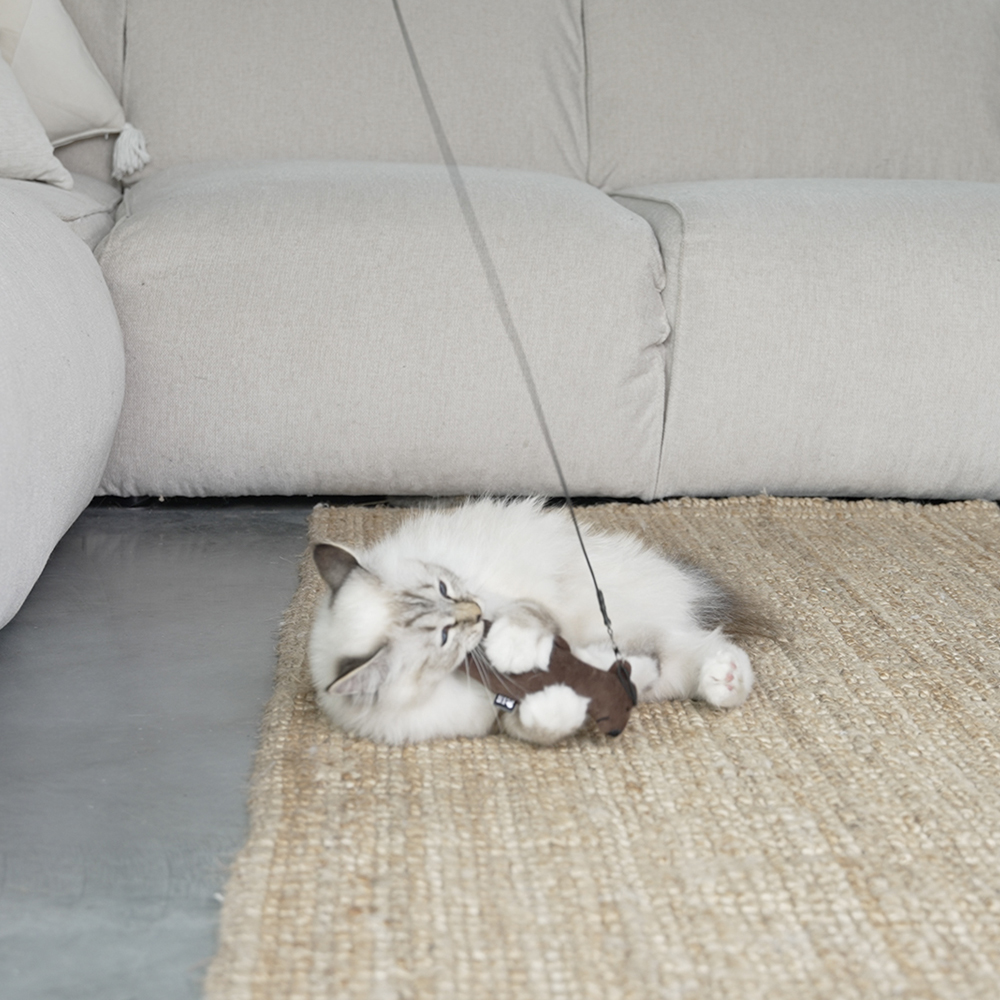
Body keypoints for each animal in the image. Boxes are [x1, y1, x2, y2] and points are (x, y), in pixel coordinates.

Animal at [308, 496, 752, 748]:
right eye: (444, 636)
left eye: (444, 588)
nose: (475, 612)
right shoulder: (496, 715)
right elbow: (539, 723)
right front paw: (563, 705)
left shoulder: (515, 603)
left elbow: (526, 618)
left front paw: (510, 650)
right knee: (684, 656)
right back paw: (721, 680)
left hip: (616, 616)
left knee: (707, 645)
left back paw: (727, 680)